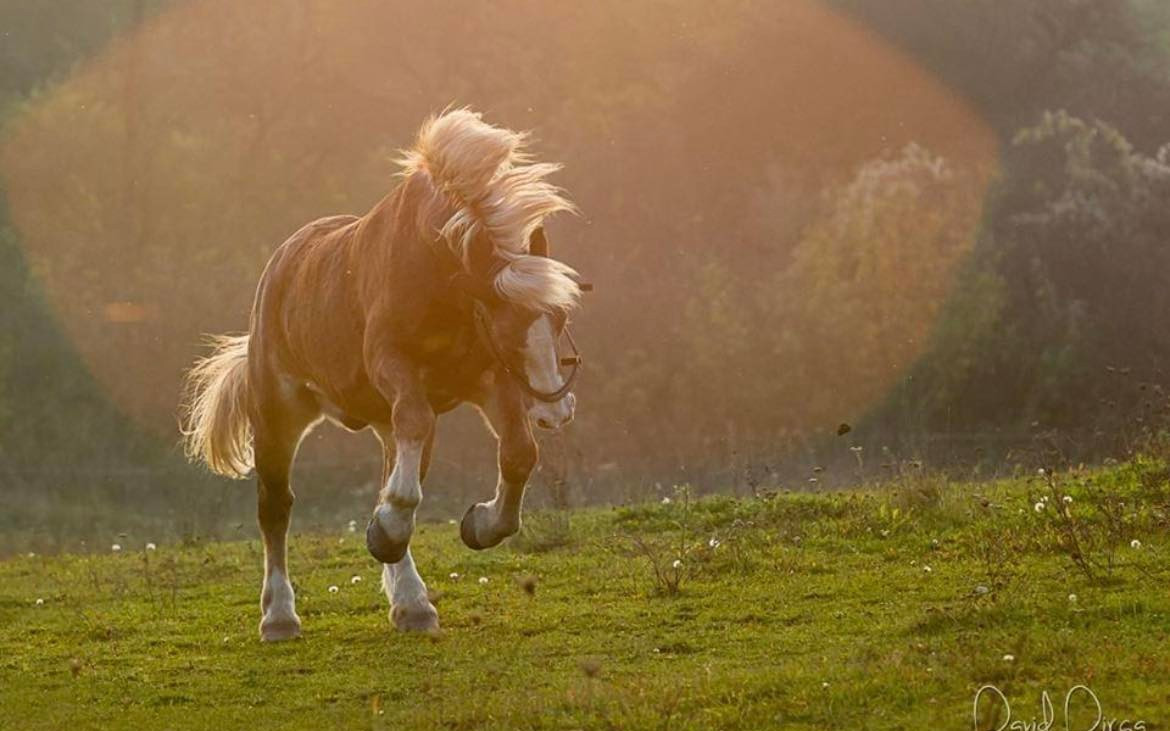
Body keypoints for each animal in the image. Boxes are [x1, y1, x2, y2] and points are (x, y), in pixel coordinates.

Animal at [179, 108, 585, 636]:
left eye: (558, 317)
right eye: (505, 321)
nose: (555, 409)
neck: (435, 278)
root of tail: (282, 264)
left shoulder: (488, 382)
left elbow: (518, 454)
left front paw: (478, 525)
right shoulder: (396, 369)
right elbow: (412, 457)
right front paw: (387, 532)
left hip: (380, 420)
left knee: (392, 479)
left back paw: (411, 601)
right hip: (277, 414)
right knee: (276, 508)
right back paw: (280, 615)